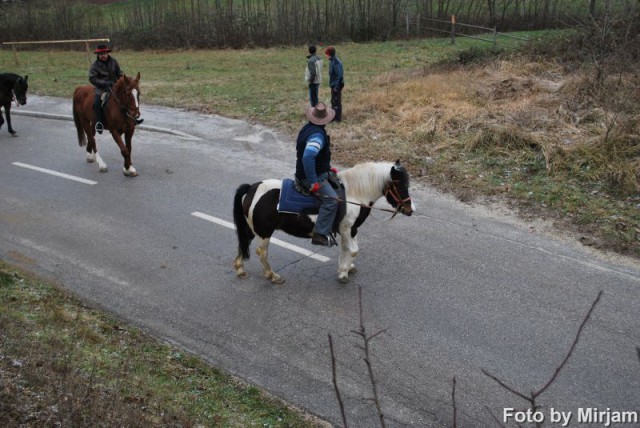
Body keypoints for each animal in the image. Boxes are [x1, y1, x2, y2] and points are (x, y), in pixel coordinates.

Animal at [234, 160, 416, 284]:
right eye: (401, 185)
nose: (410, 209)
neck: (354, 195)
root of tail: (252, 188)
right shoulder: (347, 229)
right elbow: (353, 250)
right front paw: (343, 273)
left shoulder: (351, 230)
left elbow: (347, 249)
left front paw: (347, 267)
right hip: (265, 233)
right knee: (261, 252)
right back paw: (272, 275)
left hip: (252, 229)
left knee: (244, 242)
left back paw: (240, 269)